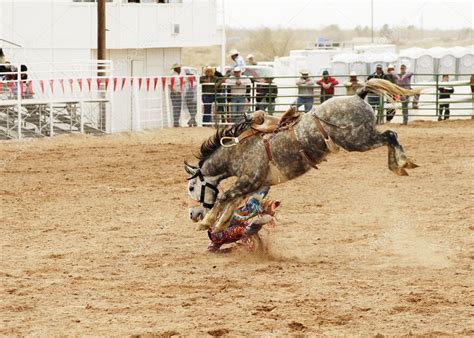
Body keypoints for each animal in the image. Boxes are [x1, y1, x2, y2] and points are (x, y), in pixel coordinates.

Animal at [186, 78, 422, 234]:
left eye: (191, 187)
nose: (192, 215)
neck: (237, 149)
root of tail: (358, 95)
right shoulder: (253, 185)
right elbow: (232, 202)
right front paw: (220, 223)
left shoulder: (248, 180)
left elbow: (224, 197)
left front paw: (207, 222)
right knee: (391, 136)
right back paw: (403, 165)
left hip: (357, 140)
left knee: (390, 135)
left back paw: (401, 164)